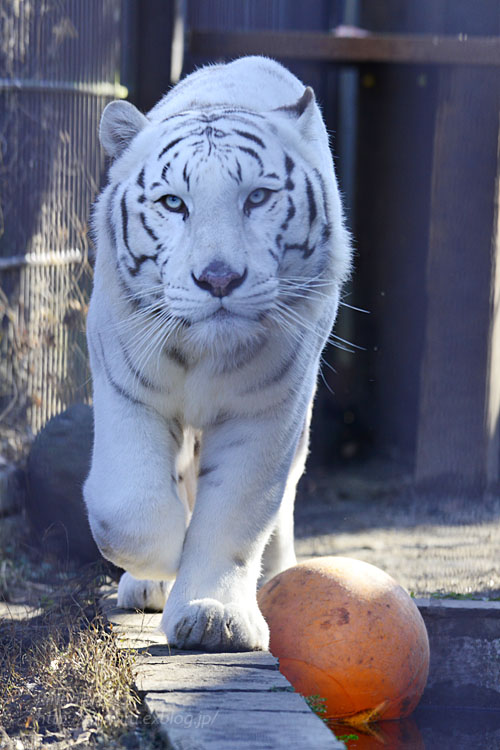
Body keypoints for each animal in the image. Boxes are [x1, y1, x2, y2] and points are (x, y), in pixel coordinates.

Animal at [84, 57, 352, 652]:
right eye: (173, 203)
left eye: (257, 197)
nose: (219, 278)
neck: (205, 356)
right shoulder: (125, 387)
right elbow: (127, 509)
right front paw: (162, 563)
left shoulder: (267, 410)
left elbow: (235, 516)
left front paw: (213, 617)